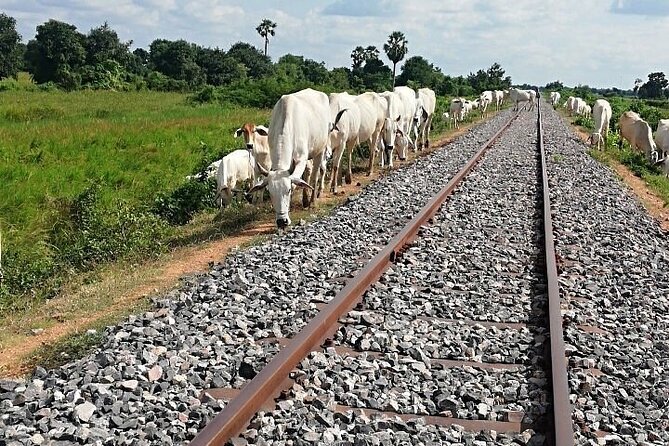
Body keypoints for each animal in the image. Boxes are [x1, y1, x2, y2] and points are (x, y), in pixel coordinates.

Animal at [247, 88, 344, 230]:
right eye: (270, 193)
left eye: (288, 190)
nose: (282, 222)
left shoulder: (301, 158)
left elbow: (298, 180)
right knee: (308, 173)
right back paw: (305, 199)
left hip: (320, 149)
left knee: (315, 174)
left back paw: (312, 201)